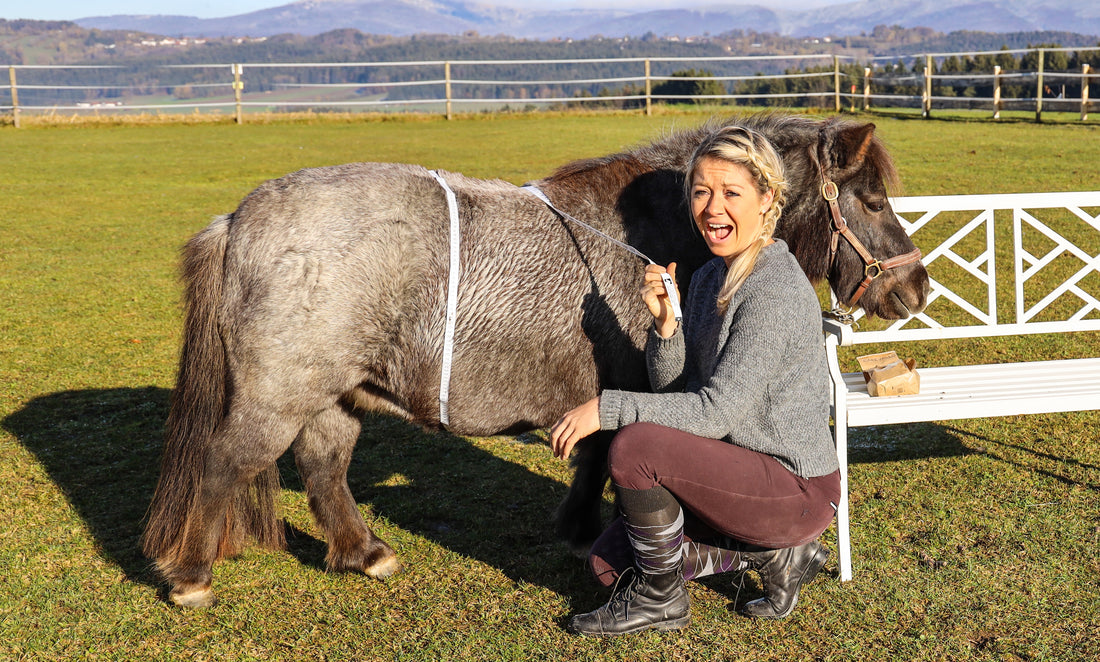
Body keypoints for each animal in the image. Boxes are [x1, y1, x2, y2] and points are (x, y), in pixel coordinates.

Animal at [142, 113, 929, 607]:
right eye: (871, 198)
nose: (916, 287)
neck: (652, 230)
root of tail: (240, 220)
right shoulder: (624, 383)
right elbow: (605, 455)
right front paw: (584, 534)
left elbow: (595, 456)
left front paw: (578, 529)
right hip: (278, 395)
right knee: (224, 464)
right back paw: (191, 575)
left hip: (335, 394)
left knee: (324, 468)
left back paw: (364, 551)